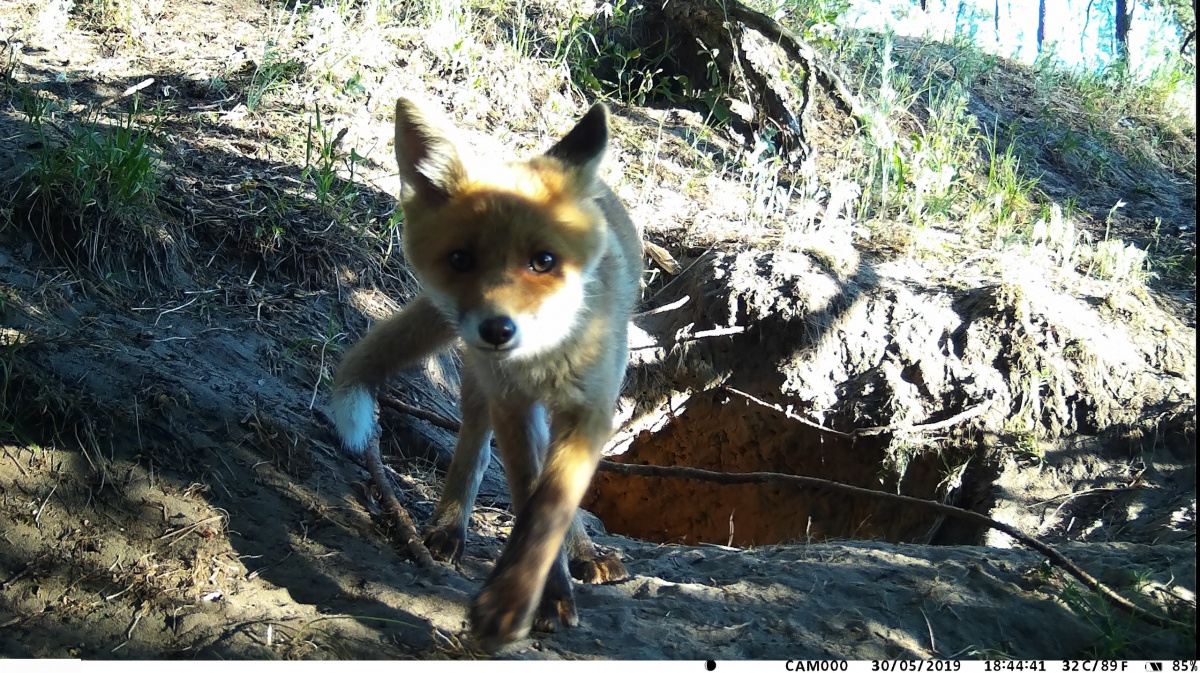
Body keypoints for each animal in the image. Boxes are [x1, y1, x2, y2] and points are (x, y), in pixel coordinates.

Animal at [328, 97, 643, 647]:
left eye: (544, 261)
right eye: (461, 259)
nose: (497, 329)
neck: (542, 359)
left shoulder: (590, 410)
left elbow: (548, 509)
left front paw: (518, 601)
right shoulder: (513, 404)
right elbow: (526, 496)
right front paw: (541, 597)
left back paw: (586, 553)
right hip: (481, 382)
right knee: (473, 439)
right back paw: (449, 526)